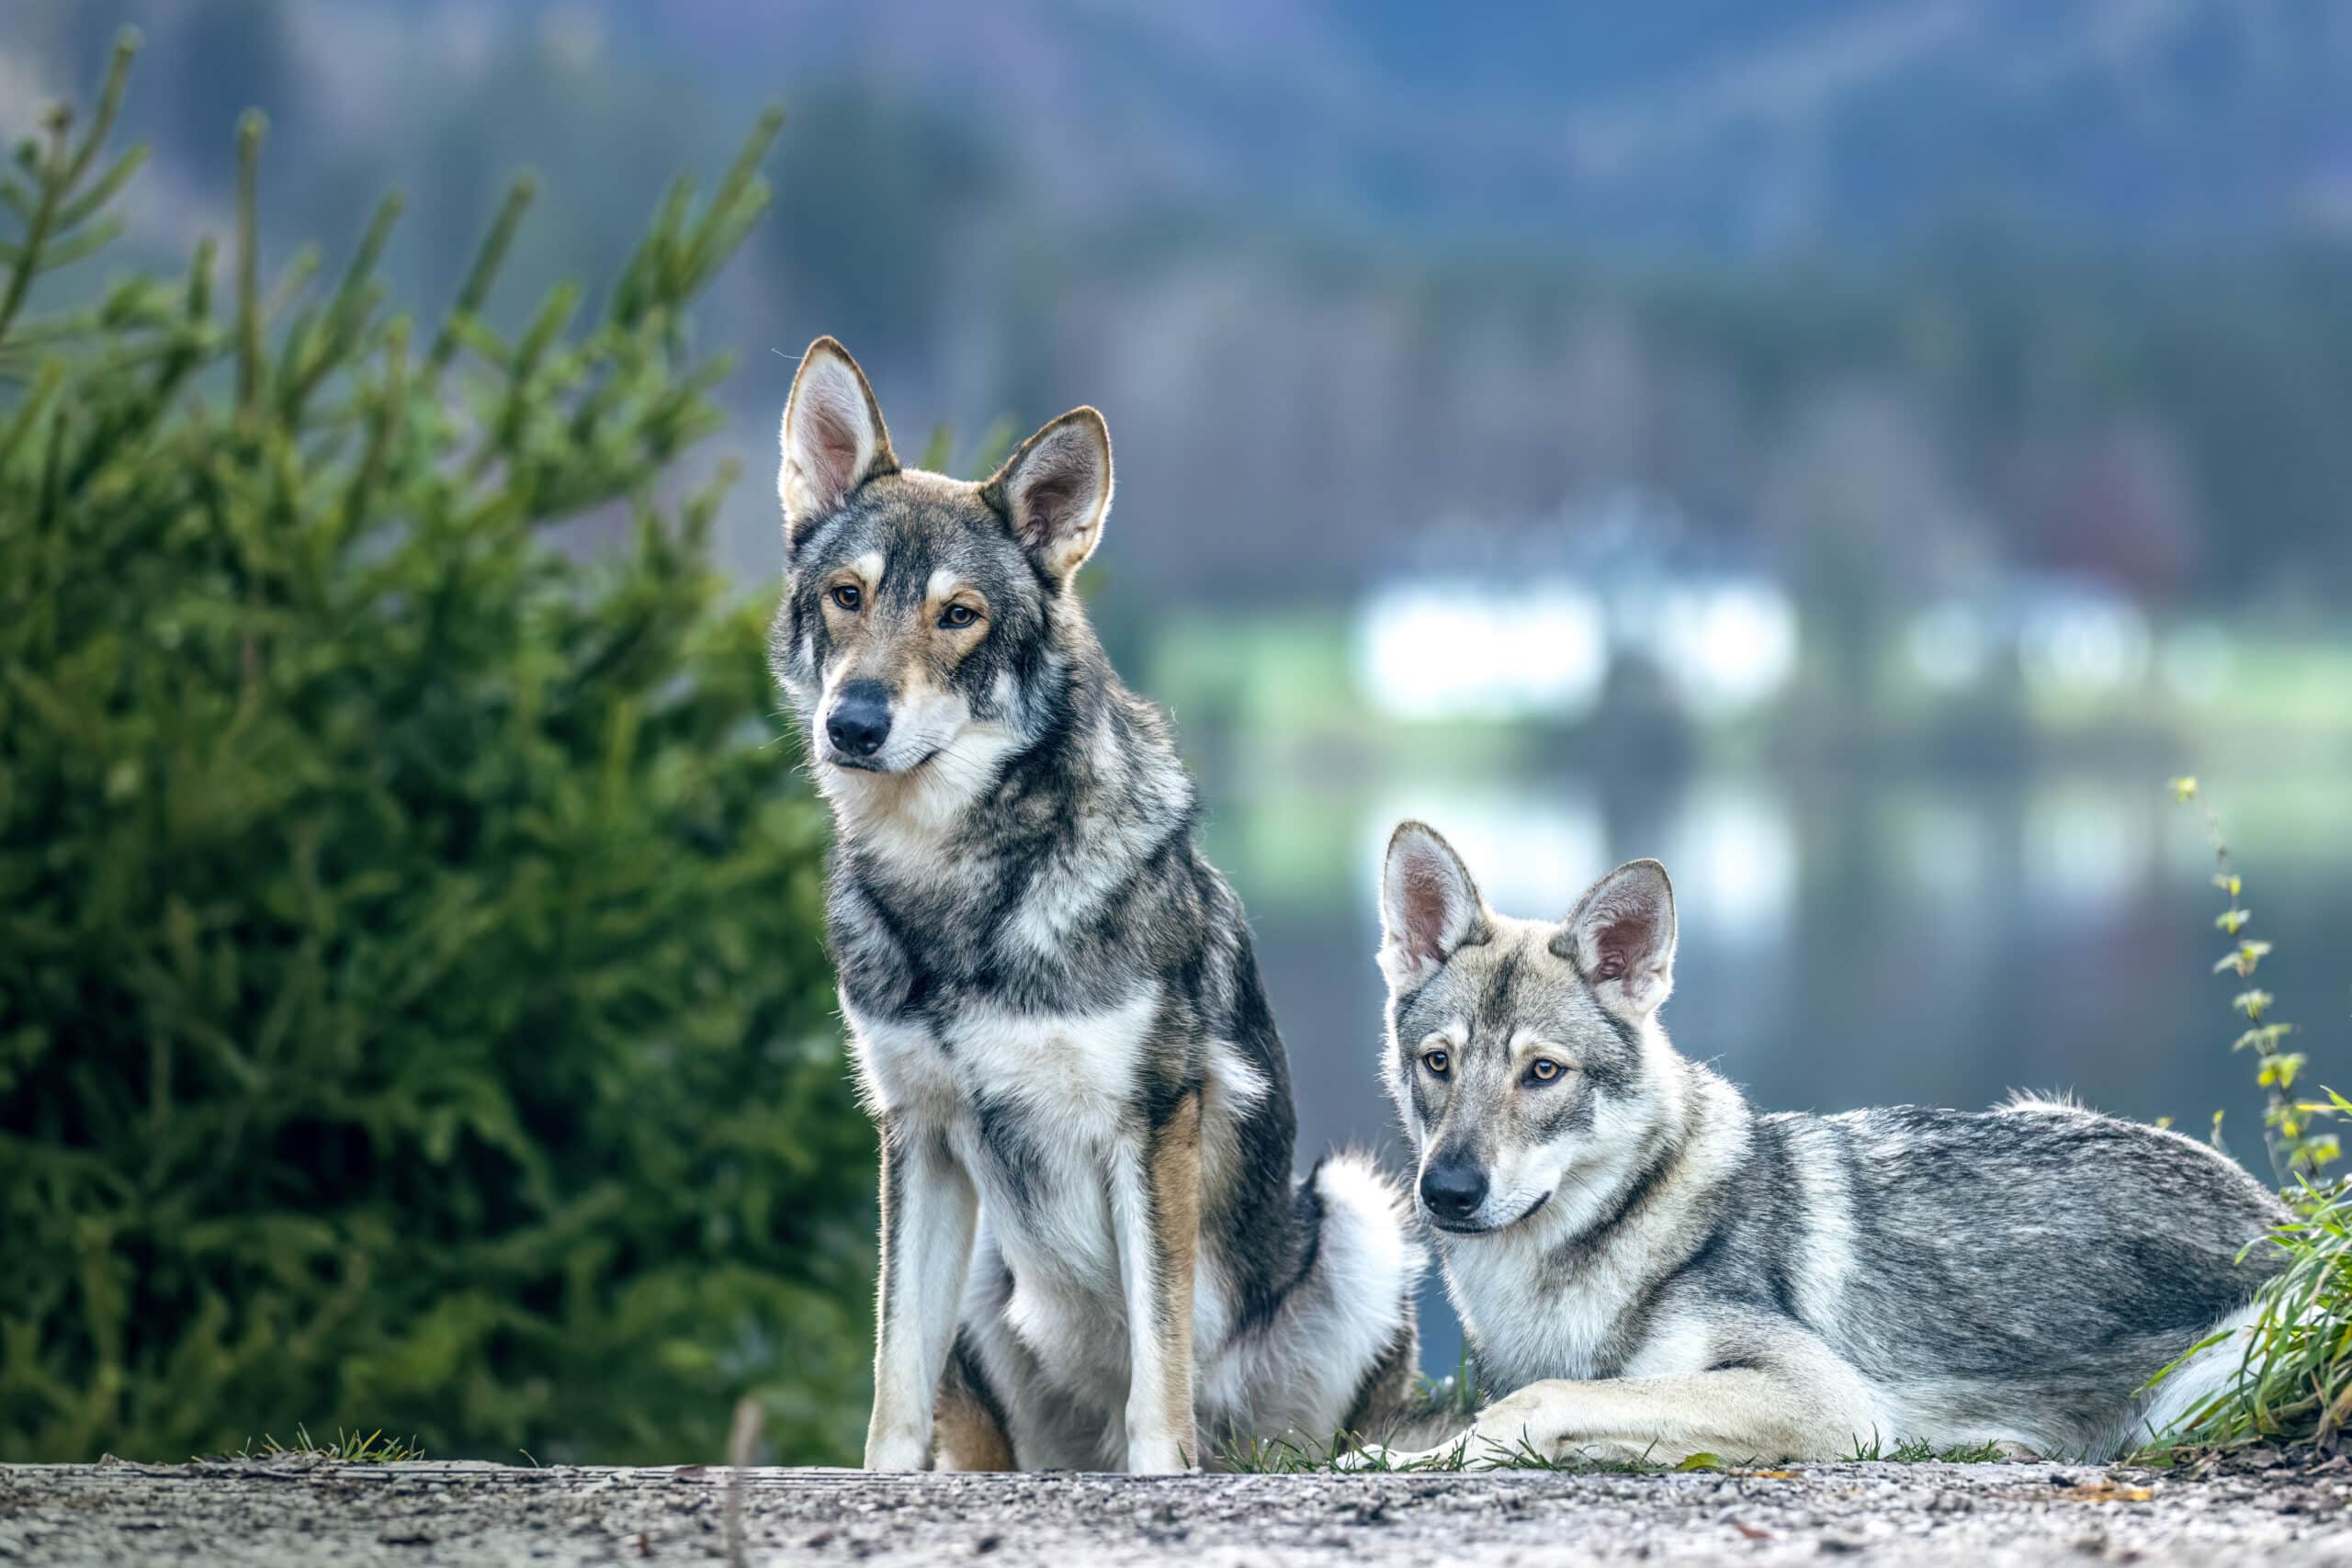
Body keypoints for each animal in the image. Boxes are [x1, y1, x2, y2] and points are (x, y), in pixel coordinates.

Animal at [769, 338, 1421, 1472]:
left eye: (958, 615)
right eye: (847, 595)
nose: (853, 723)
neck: (961, 890)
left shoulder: (1149, 1125)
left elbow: (1159, 1361)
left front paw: (1161, 1474)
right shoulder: (919, 1135)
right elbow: (894, 1372)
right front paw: (884, 1481)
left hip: (1355, 1213)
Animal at [1360, 820, 2289, 1467]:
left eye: (1544, 1071)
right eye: (1438, 1062)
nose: (1447, 1191)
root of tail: (2281, 1215)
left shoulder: (1825, 1398)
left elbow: (1536, 1402)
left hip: (2198, 1384)